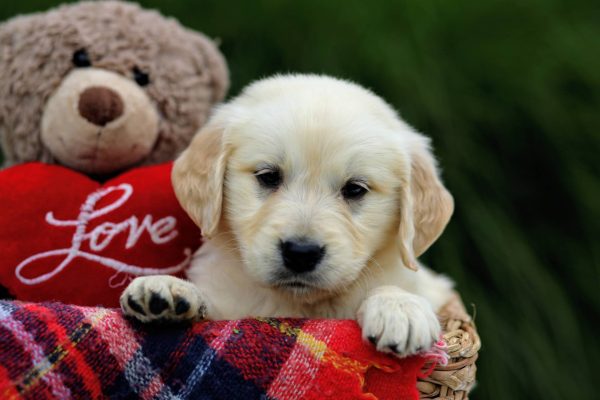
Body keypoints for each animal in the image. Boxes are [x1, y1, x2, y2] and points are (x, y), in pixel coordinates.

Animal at [119, 74, 452, 356]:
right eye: (268, 176)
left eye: (355, 189)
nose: (301, 253)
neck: (300, 305)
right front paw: (166, 289)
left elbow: (398, 287)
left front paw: (400, 307)